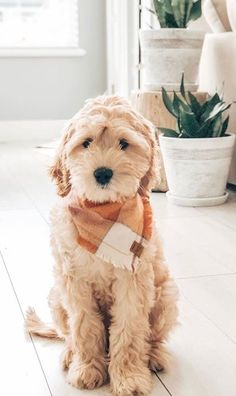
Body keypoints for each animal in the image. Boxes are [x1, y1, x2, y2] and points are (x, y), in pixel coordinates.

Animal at [25, 96, 178, 396]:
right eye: (86, 143)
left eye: (124, 143)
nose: (103, 173)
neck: (102, 214)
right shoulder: (73, 281)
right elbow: (84, 326)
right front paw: (87, 369)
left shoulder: (134, 281)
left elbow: (130, 330)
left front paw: (129, 378)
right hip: (55, 297)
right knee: (68, 335)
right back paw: (70, 355)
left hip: (166, 295)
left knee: (152, 336)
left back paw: (153, 356)